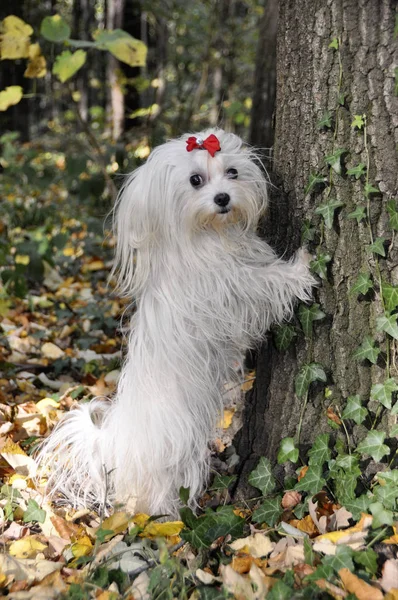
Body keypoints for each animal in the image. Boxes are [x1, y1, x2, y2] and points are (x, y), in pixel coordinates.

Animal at [38, 130, 316, 516]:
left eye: (232, 172)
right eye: (195, 180)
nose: (223, 197)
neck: (210, 235)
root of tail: (113, 446)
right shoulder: (233, 291)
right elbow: (267, 285)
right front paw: (300, 268)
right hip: (174, 457)